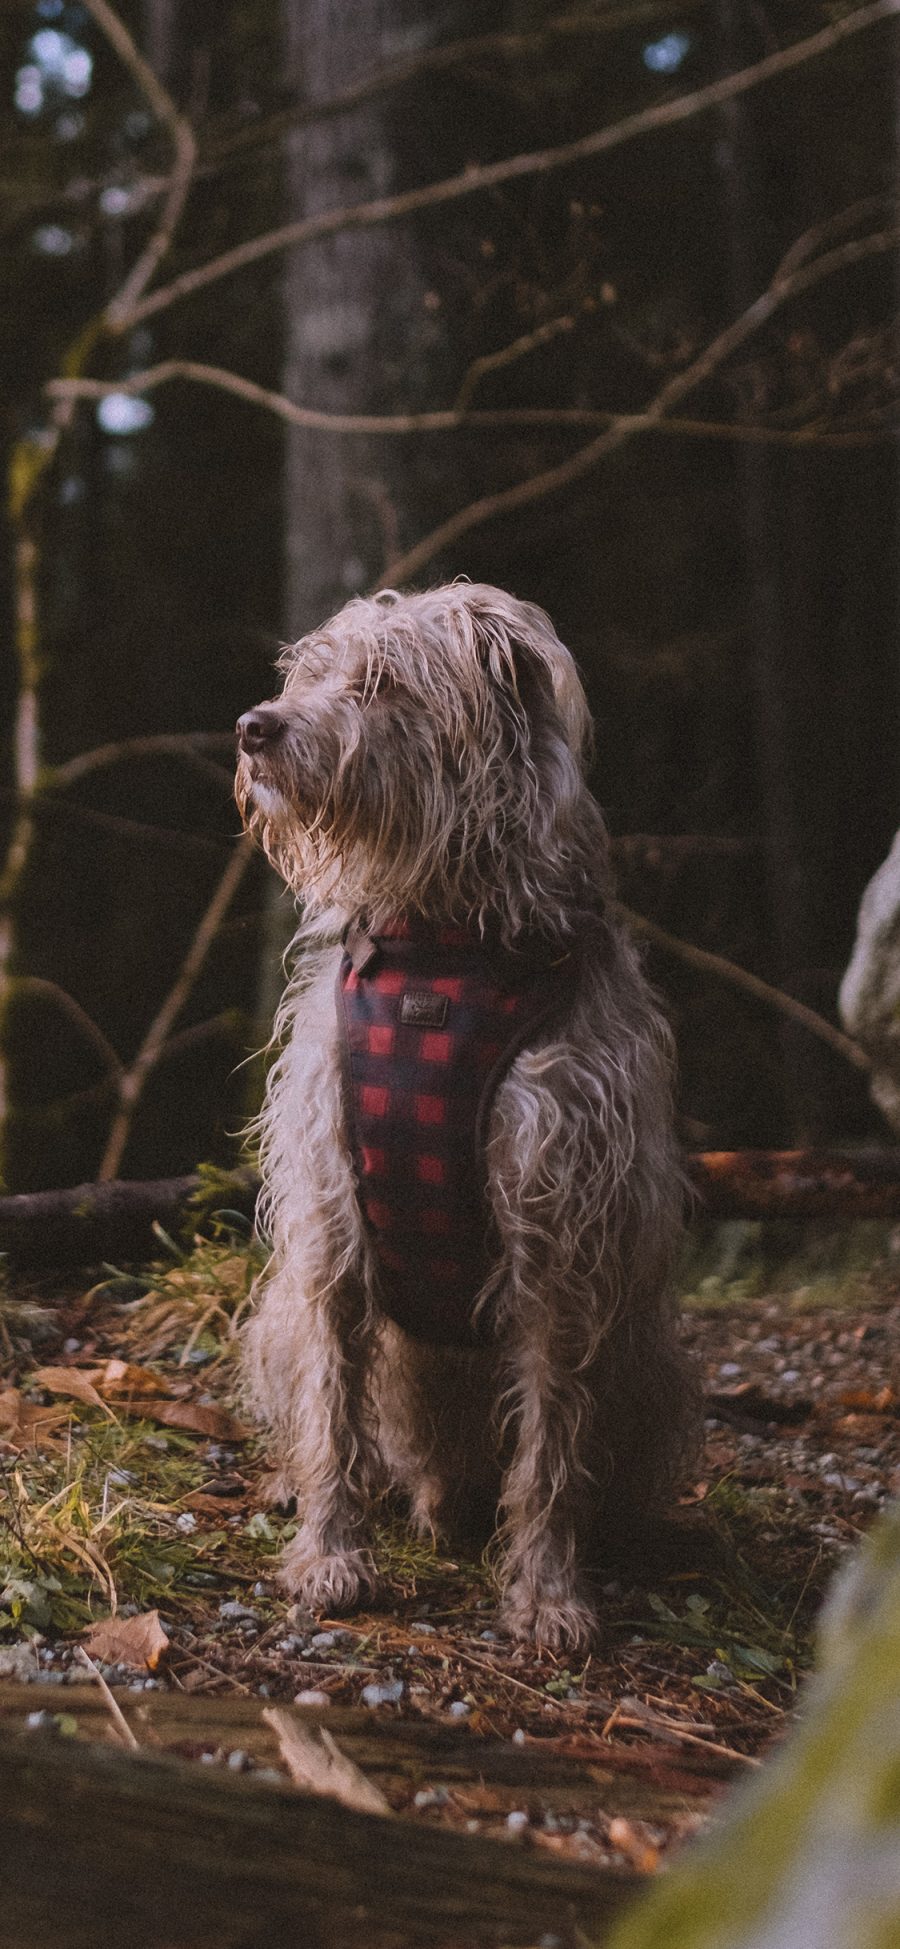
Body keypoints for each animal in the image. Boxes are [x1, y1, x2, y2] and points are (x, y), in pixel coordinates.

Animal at [235, 576, 701, 1644]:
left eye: (379, 684)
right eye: (309, 673)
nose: (253, 726)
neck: (440, 949)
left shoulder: (559, 1232)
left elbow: (553, 1446)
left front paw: (548, 1589)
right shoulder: (331, 1217)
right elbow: (334, 1401)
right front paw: (330, 1551)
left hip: (646, 1356)